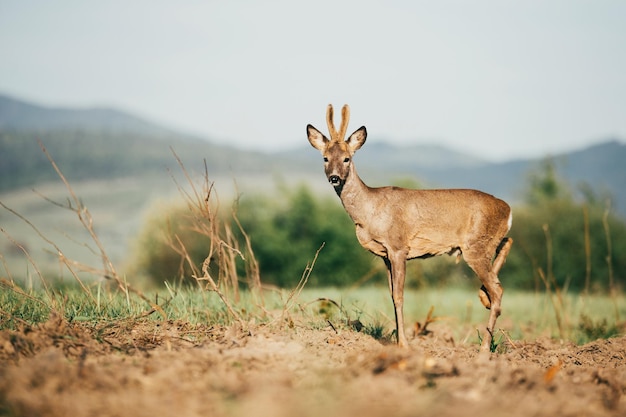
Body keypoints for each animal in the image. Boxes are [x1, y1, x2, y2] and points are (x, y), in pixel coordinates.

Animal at [304, 104, 510, 352]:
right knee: (505, 249)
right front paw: (397, 340)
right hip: (487, 244)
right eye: (325, 158)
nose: (334, 178)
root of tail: (508, 210)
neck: (370, 210)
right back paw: (483, 299)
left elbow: (400, 296)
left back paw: (484, 348)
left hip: (476, 247)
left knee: (498, 289)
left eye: (346, 158)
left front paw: (404, 344)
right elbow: (392, 295)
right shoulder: (384, 255)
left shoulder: (398, 246)